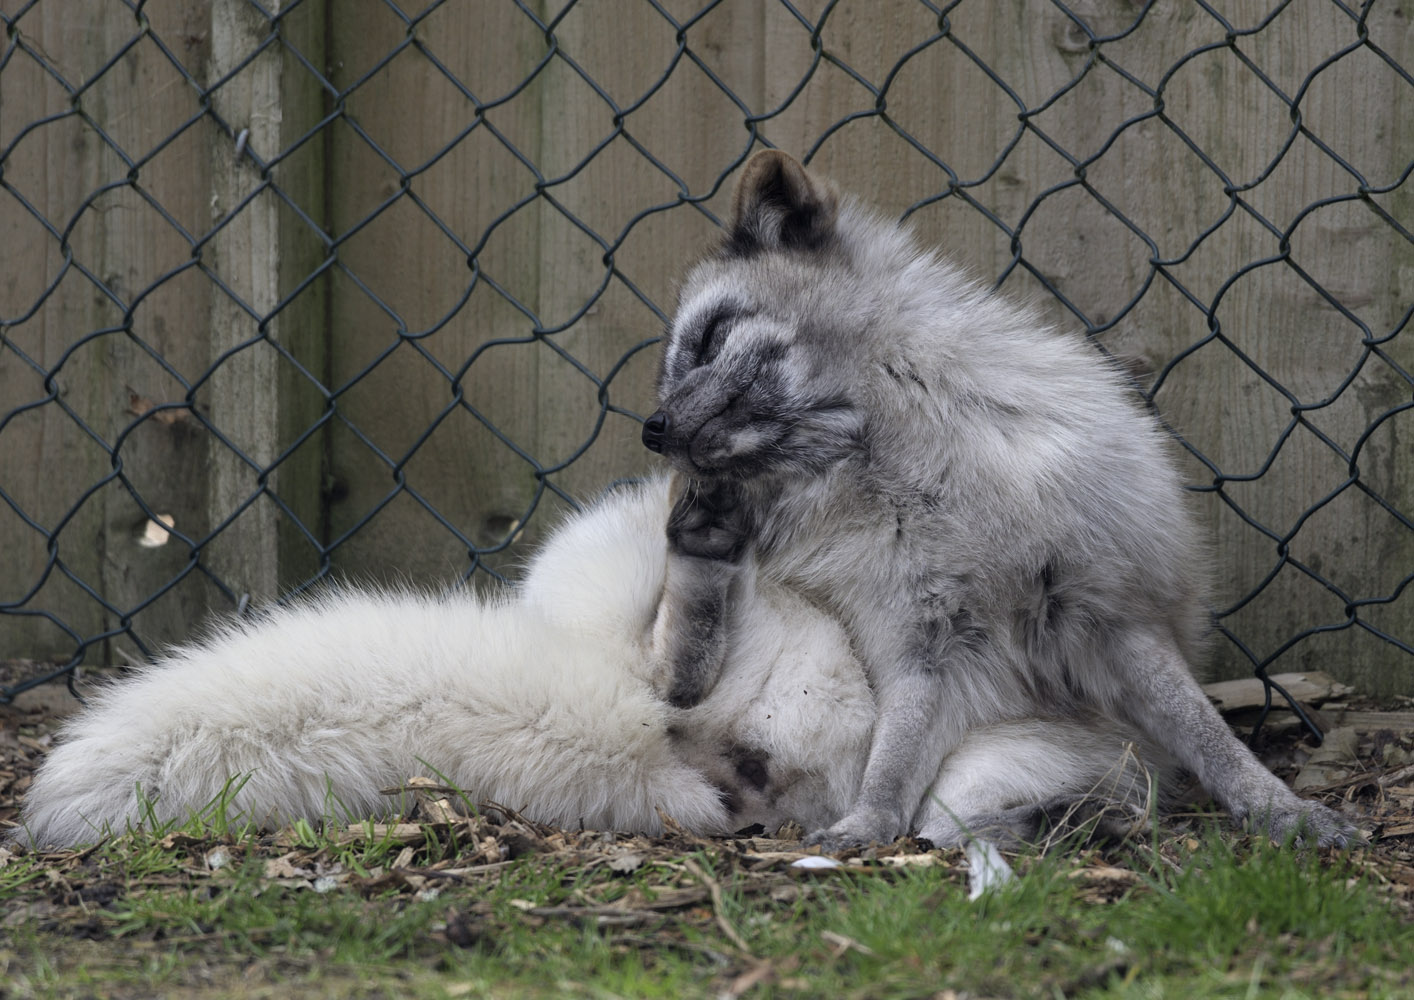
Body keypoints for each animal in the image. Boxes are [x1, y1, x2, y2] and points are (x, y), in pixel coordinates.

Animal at [642, 150, 1355, 852]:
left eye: (709, 337)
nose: (653, 429)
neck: (906, 470)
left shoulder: (1118, 616)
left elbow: (1214, 739)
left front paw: (1282, 809)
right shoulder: (922, 643)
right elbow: (892, 766)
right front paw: (868, 821)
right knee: (932, 828)